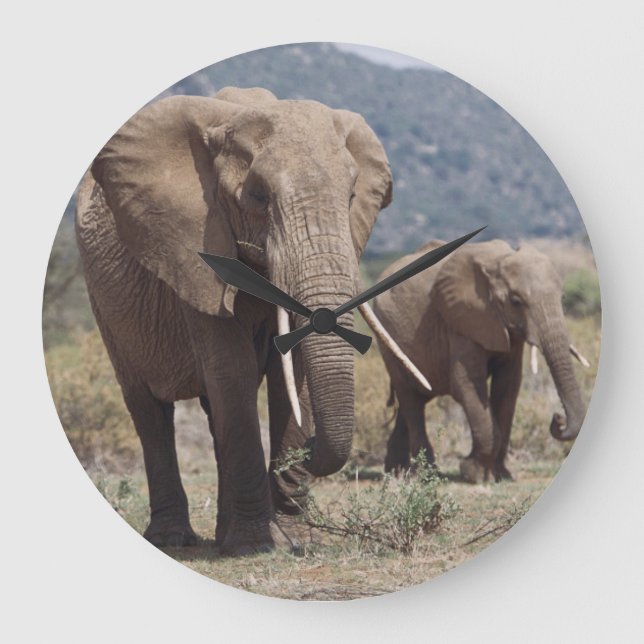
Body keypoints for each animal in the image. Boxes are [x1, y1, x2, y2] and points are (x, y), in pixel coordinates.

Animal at [75, 86, 417, 555]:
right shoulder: (194, 249)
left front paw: (295, 540)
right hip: (106, 304)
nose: (311, 447)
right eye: (257, 197)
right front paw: (257, 545)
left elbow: (291, 375)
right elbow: (232, 372)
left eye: (350, 198)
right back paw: (174, 540)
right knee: (149, 408)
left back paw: (222, 538)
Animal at [372, 239, 588, 483]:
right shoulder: (461, 321)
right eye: (516, 301)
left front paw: (501, 475)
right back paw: (426, 475)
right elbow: (466, 384)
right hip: (387, 337)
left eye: (562, 298)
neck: (498, 260)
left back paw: (397, 471)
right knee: (410, 398)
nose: (558, 418)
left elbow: (508, 386)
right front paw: (473, 473)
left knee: (415, 398)